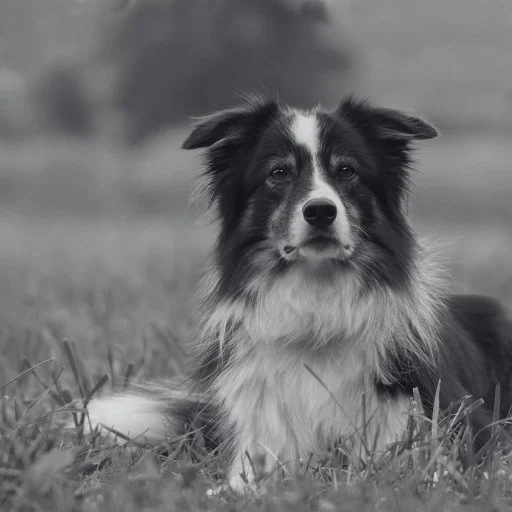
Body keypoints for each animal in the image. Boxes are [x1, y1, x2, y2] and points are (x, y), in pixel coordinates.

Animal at [84, 95, 512, 492]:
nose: (320, 210)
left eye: (346, 170)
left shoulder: (429, 424)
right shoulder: (263, 439)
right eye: (279, 173)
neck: (317, 304)